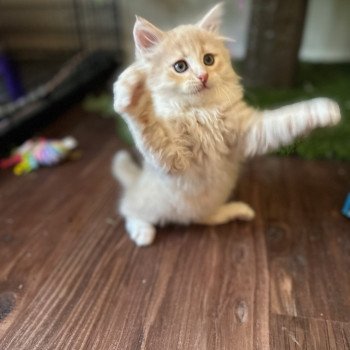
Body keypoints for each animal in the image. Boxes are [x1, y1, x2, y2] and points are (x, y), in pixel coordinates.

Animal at [113, 3, 342, 246]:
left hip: (207, 205)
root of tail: (135, 182)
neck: (202, 112)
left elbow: (287, 116)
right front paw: (133, 93)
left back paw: (237, 210)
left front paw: (324, 109)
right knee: (129, 210)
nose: (203, 76)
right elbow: (149, 127)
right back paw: (142, 232)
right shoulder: (172, 159)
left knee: (204, 218)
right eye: (180, 66)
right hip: (150, 204)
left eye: (208, 60)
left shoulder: (250, 132)